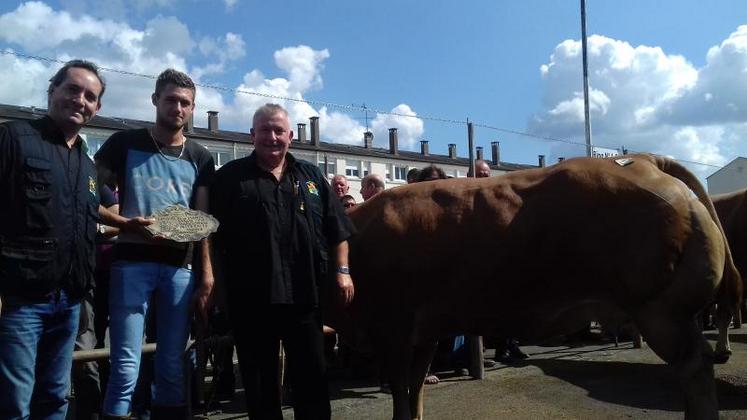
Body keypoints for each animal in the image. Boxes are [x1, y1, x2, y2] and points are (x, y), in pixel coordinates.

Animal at [344, 154, 744, 420]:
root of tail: (642, 161)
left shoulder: (393, 326)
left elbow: (401, 392)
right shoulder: (423, 332)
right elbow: (414, 392)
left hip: (661, 311)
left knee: (695, 368)